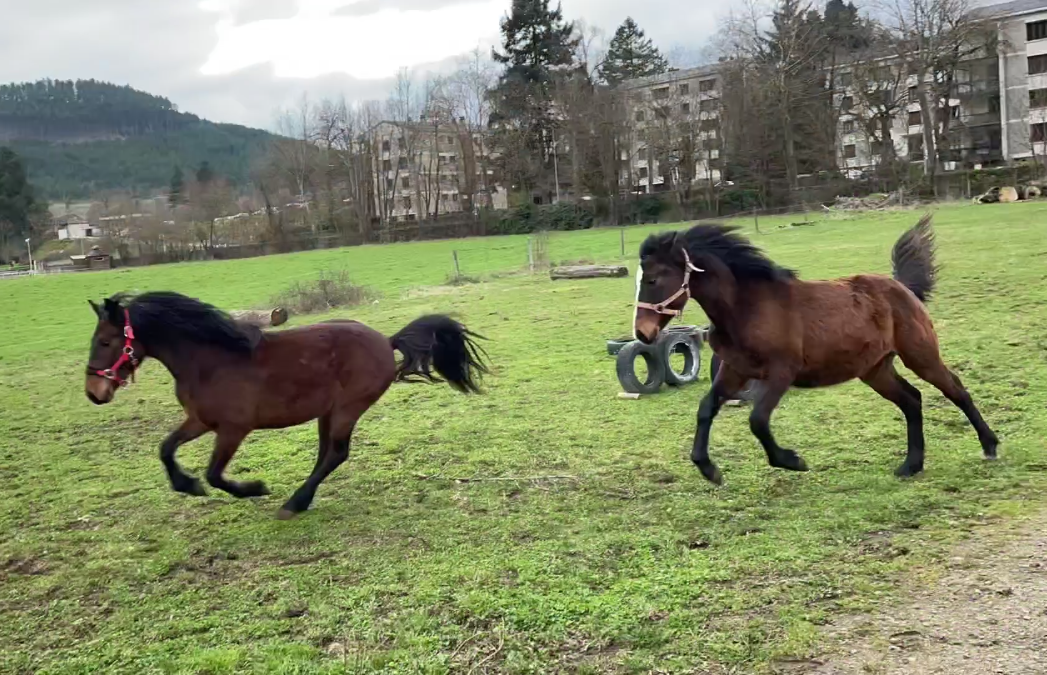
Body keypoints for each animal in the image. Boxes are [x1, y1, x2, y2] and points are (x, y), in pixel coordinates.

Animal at [84, 291, 489, 519]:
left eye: (104, 342)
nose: (93, 392)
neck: (209, 361)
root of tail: (386, 341)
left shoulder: (233, 429)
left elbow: (215, 474)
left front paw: (254, 488)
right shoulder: (199, 420)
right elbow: (165, 449)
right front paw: (187, 485)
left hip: (347, 409)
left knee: (336, 454)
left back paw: (294, 504)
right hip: (328, 412)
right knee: (327, 454)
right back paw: (302, 500)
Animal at [632, 215, 998, 484]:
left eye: (652, 279)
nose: (642, 333)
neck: (747, 308)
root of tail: (902, 287)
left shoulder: (781, 372)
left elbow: (757, 420)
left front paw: (792, 460)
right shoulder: (734, 370)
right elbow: (707, 408)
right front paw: (709, 469)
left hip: (920, 355)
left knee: (955, 389)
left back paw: (990, 446)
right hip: (875, 370)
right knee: (912, 400)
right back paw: (911, 465)